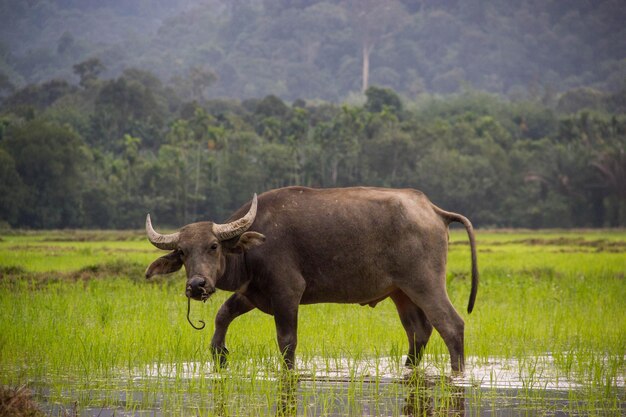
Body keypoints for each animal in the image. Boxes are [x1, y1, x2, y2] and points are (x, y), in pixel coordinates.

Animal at [145, 187, 478, 372]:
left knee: (451, 325)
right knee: (418, 331)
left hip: (425, 284)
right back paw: (407, 368)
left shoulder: (287, 294)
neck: (252, 248)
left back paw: (457, 372)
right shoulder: (252, 293)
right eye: (183, 252)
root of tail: (432, 209)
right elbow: (222, 315)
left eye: (213, 246)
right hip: (401, 292)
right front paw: (221, 355)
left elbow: (286, 342)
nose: (197, 285)